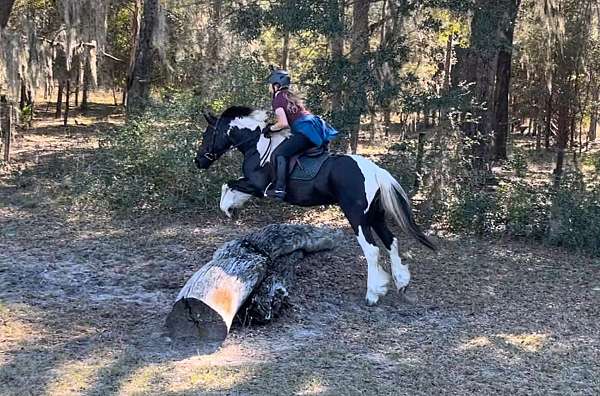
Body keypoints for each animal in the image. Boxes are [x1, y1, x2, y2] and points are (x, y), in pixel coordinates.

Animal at [197, 106, 436, 306]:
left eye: (206, 135)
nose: (199, 161)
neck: (256, 145)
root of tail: (376, 171)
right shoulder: (252, 185)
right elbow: (231, 187)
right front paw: (233, 208)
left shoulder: (257, 185)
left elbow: (227, 186)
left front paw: (228, 208)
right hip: (376, 216)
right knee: (391, 242)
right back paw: (401, 283)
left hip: (357, 217)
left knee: (372, 250)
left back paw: (372, 294)